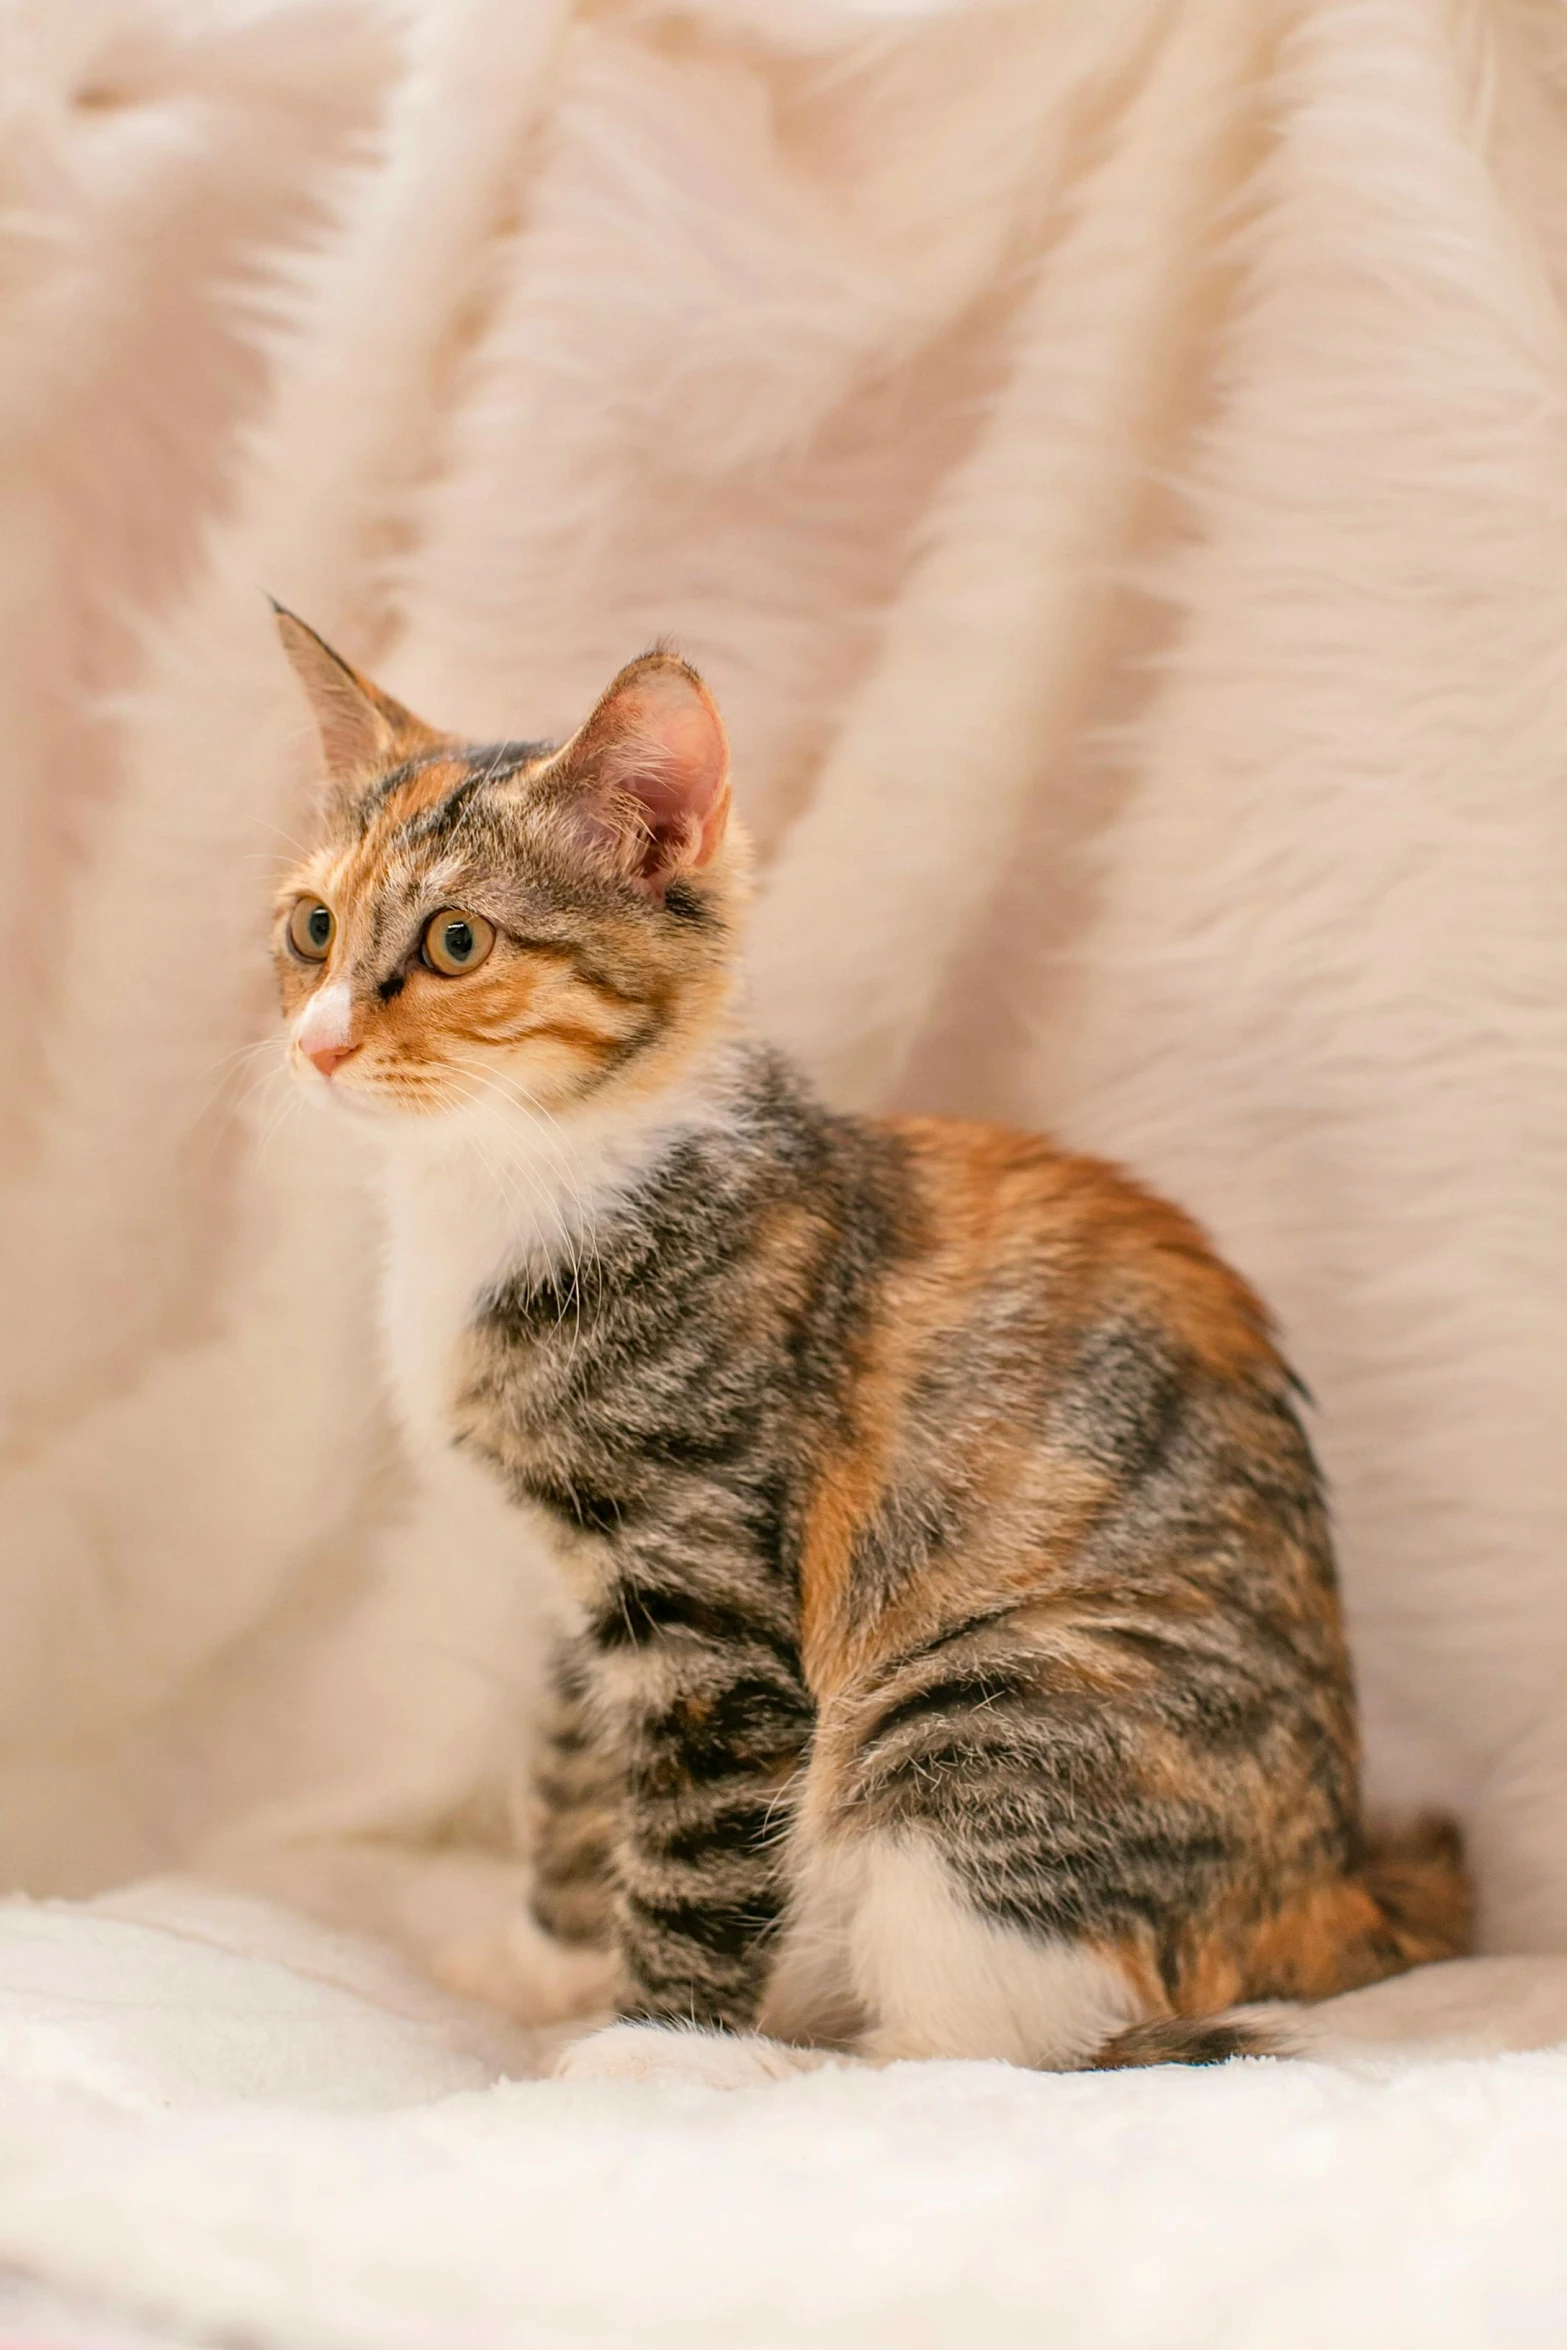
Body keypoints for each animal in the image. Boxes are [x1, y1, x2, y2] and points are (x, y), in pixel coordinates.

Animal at [272, 615, 1475, 2086]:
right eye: (311, 926)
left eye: (454, 940)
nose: (318, 1041)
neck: (517, 1180)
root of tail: (1328, 1883)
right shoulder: (571, 1600)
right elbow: (572, 1776)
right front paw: (544, 1959)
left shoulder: (709, 1602)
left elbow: (694, 1840)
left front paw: (646, 2043)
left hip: (987, 1715)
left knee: (975, 2052)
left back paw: (792, 2058)